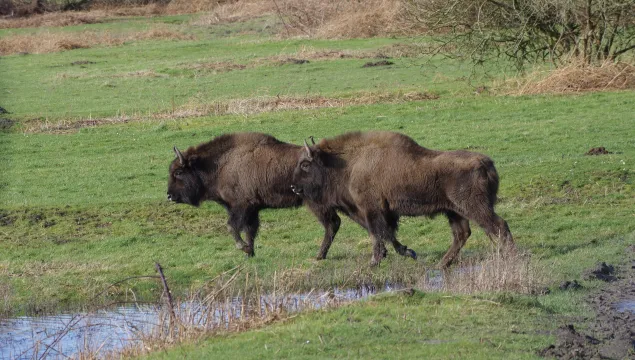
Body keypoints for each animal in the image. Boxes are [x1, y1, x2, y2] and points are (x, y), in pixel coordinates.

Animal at [166, 134, 340, 258]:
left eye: (178, 172)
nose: (169, 195)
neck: (222, 165)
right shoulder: (251, 210)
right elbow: (249, 231)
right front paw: (250, 253)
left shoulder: (242, 206)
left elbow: (232, 226)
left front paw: (244, 248)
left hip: (316, 203)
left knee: (332, 224)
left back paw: (319, 255)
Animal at [294, 131, 516, 268]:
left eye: (305, 164)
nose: (294, 187)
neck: (349, 163)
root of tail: (486, 163)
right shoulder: (384, 213)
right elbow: (387, 234)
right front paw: (407, 252)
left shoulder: (371, 210)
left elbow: (377, 235)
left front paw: (373, 262)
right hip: (454, 212)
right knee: (462, 234)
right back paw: (441, 264)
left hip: (475, 208)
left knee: (498, 226)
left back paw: (511, 257)